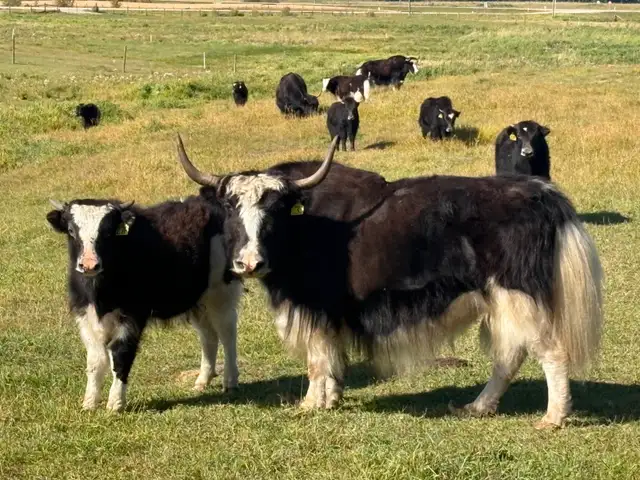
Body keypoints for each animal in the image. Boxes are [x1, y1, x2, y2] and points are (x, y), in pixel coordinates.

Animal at [46, 196, 242, 412]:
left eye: (108, 232)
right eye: (71, 230)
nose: (89, 265)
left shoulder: (132, 316)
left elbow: (121, 354)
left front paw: (115, 404)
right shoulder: (85, 316)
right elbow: (95, 360)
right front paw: (89, 403)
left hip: (221, 294)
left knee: (227, 333)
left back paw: (230, 381)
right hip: (199, 302)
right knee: (208, 336)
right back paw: (202, 381)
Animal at [176, 135, 603, 429]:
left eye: (276, 209)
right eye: (230, 208)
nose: (249, 263)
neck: (306, 224)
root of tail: (543, 195)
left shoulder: (313, 304)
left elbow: (316, 357)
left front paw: (310, 404)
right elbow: (332, 356)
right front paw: (333, 397)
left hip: (519, 295)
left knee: (549, 352)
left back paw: (552, 418)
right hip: (499, 302)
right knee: (510, 354)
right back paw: (476, 407)